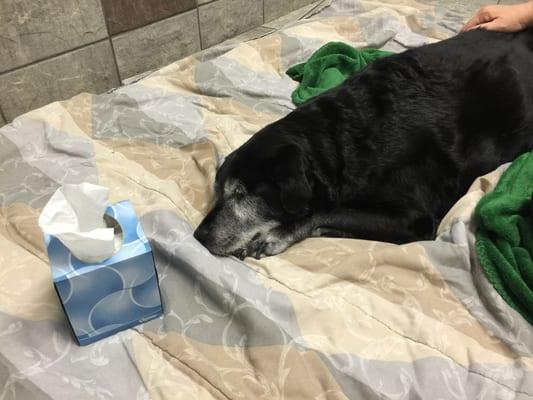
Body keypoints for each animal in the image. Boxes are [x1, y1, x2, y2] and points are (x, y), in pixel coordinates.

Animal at [193, 28, 532, 260]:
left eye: (241, 194)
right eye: (218, 192)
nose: (198, 236)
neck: (341, 142)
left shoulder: (414, 219)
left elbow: (326, 210)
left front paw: (279, 234)